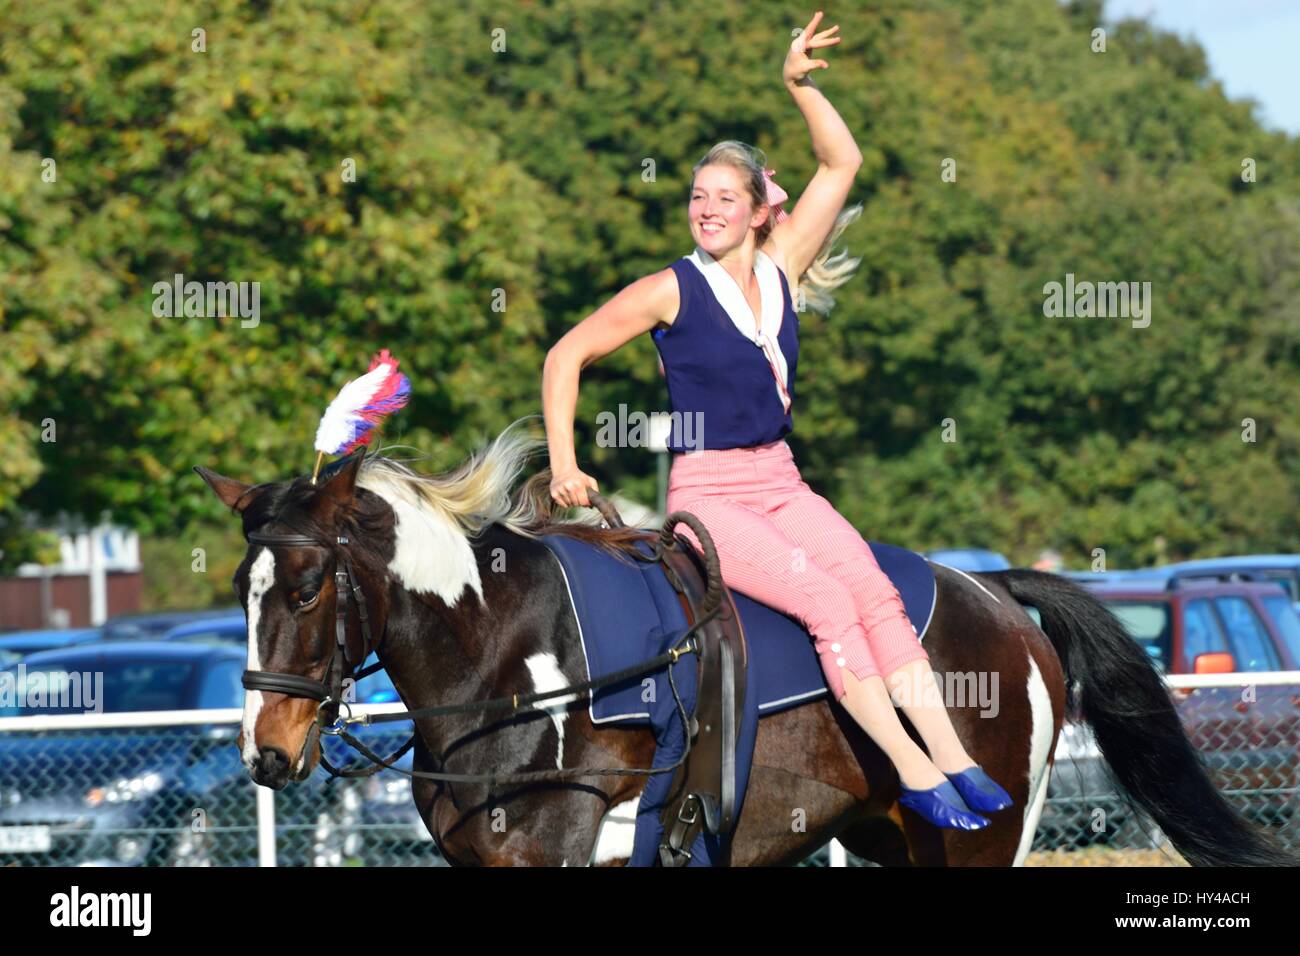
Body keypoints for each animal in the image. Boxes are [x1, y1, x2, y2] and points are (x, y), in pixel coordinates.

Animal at [195, 418, 1295, 866]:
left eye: (305, 586)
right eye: (240, 591)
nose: (268, 750)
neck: (515, 668)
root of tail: (995, 595)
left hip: (976, 843)